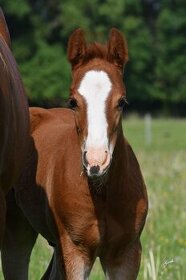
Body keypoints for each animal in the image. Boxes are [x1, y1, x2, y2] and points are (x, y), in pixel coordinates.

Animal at [1, 28, 147, 278]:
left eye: (122, 101)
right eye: (73, 102)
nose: (96, 162)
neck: (102, 193)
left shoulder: (126, 254)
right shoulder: (75, 252)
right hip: (17, 231)